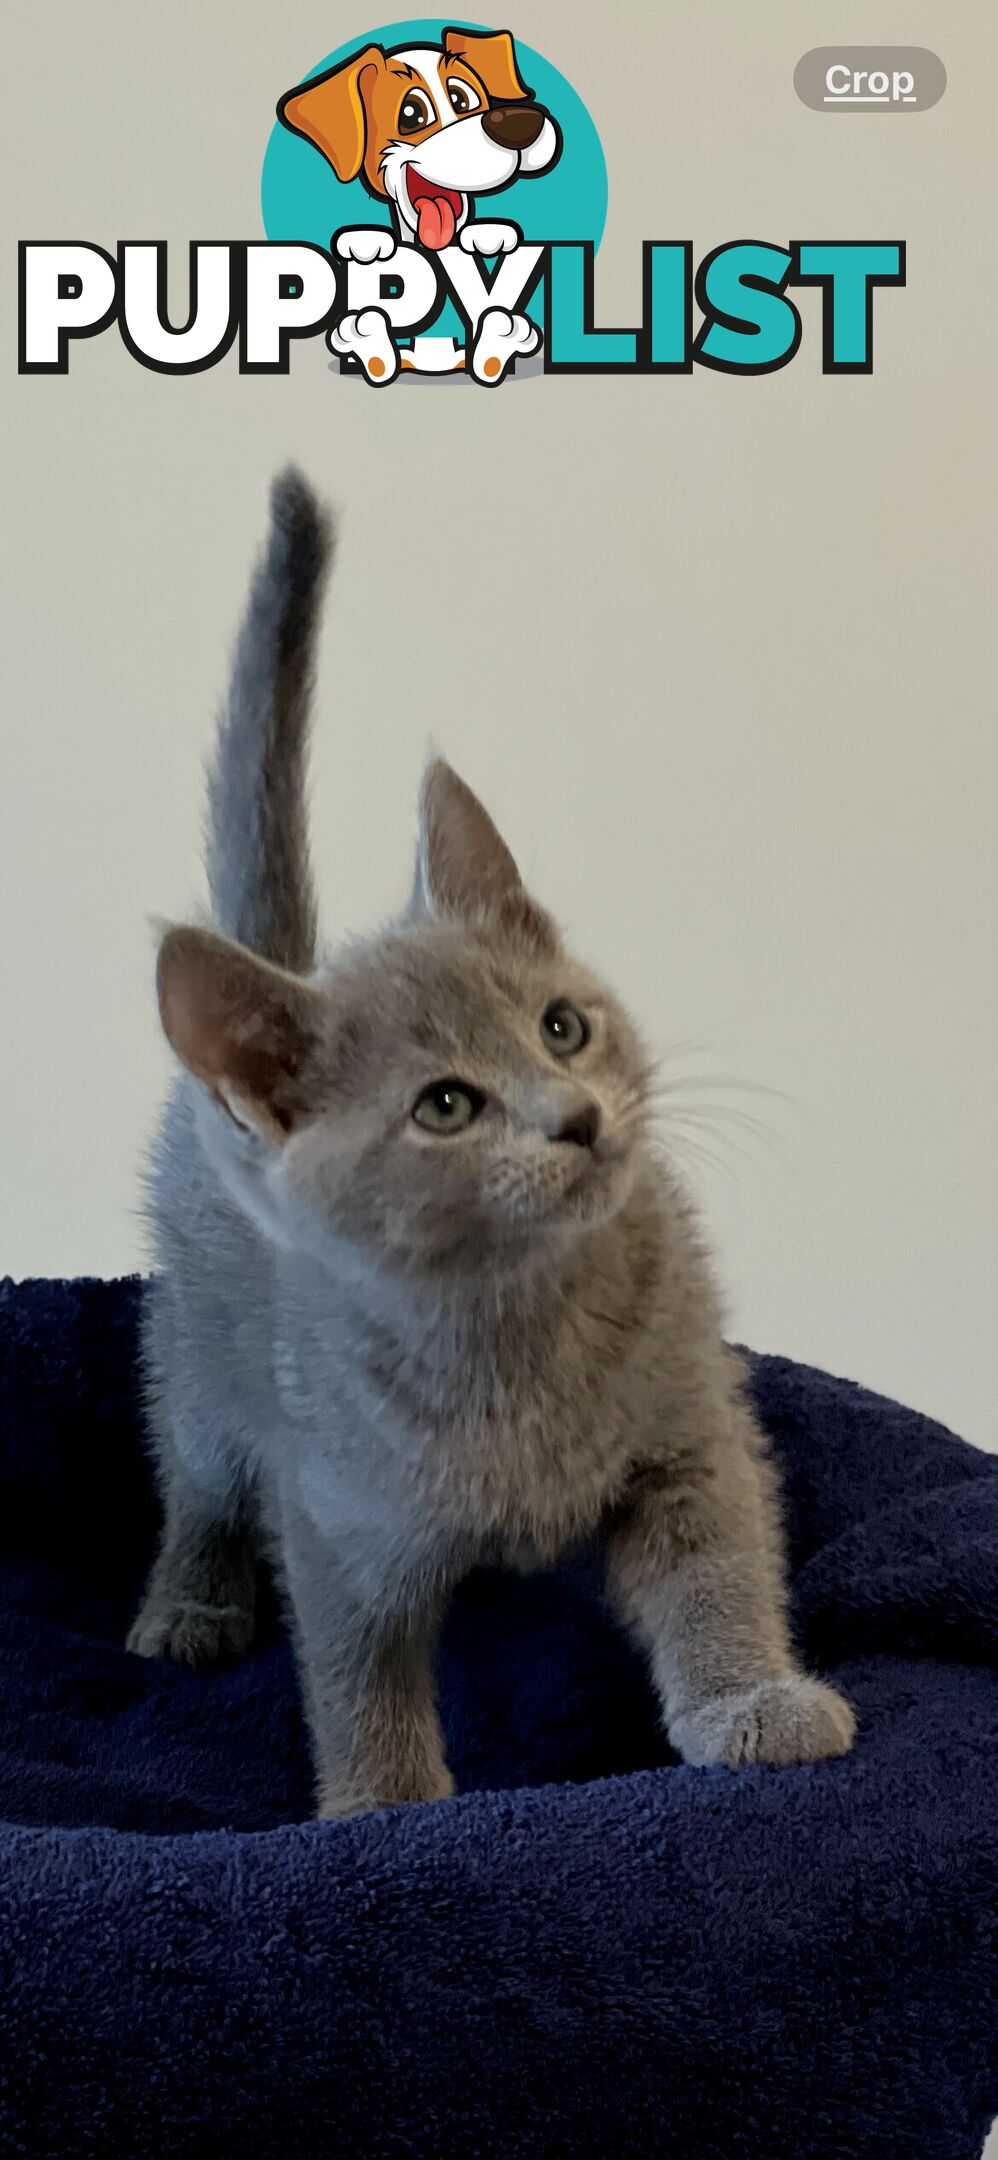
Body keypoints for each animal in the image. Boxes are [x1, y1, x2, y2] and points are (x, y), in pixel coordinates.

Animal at [128, 477, 855, 1823]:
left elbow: (717, 1561)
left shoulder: (687, 1424)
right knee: (195, 1469)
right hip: (199, 1355)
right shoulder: (340, 1515)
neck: (518, 1318)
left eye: (560, 1027)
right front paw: (383, 1807)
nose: (576, 1116)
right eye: (446, 1107)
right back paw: (189, 1604)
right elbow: (354, 1670)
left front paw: (746, 1698)